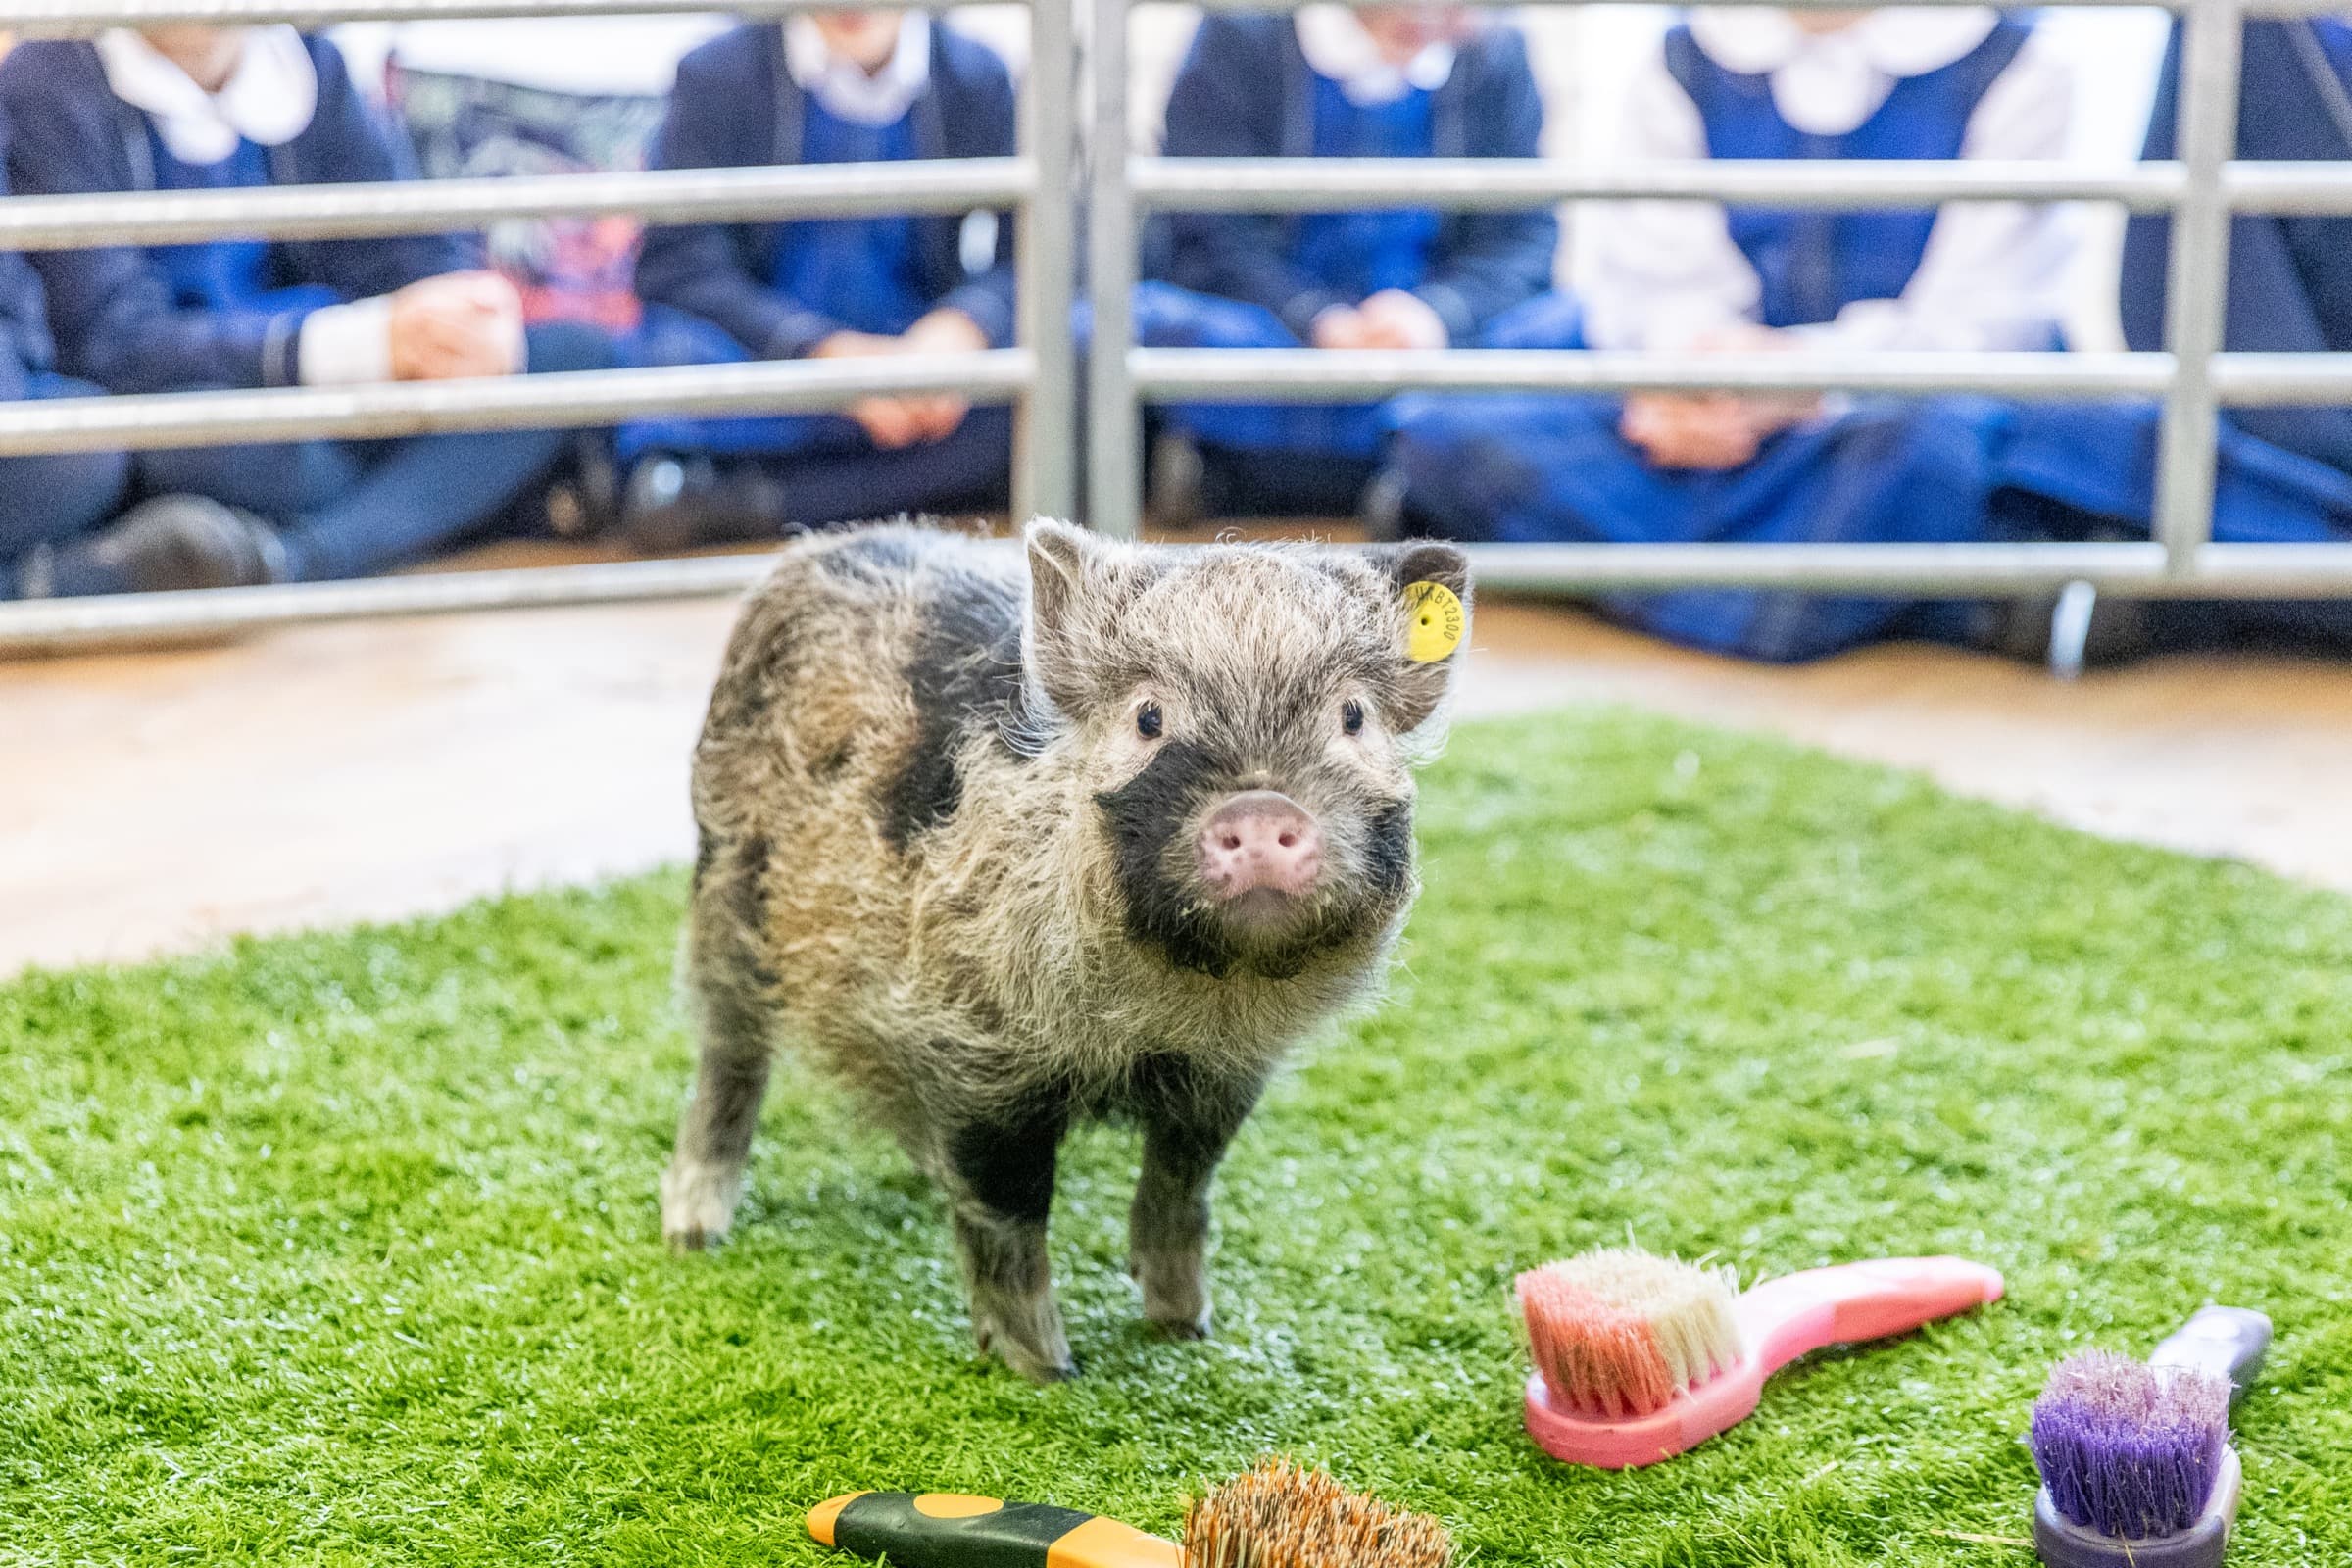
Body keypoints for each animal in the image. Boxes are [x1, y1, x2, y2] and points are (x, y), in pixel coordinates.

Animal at [661, 519, 1470, 1380]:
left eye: (1352, 716)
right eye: (1148, 717)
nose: (1259, 808)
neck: (1164, 1015)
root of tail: (816, 551)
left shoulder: (1225, 1075)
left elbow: (1184, 1187)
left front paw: (1186, 1327)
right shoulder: (978, 1051)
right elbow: (1010, 1208)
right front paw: (1047, 1369)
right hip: (726, 885)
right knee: (729, 1057)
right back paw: (692, 1232)